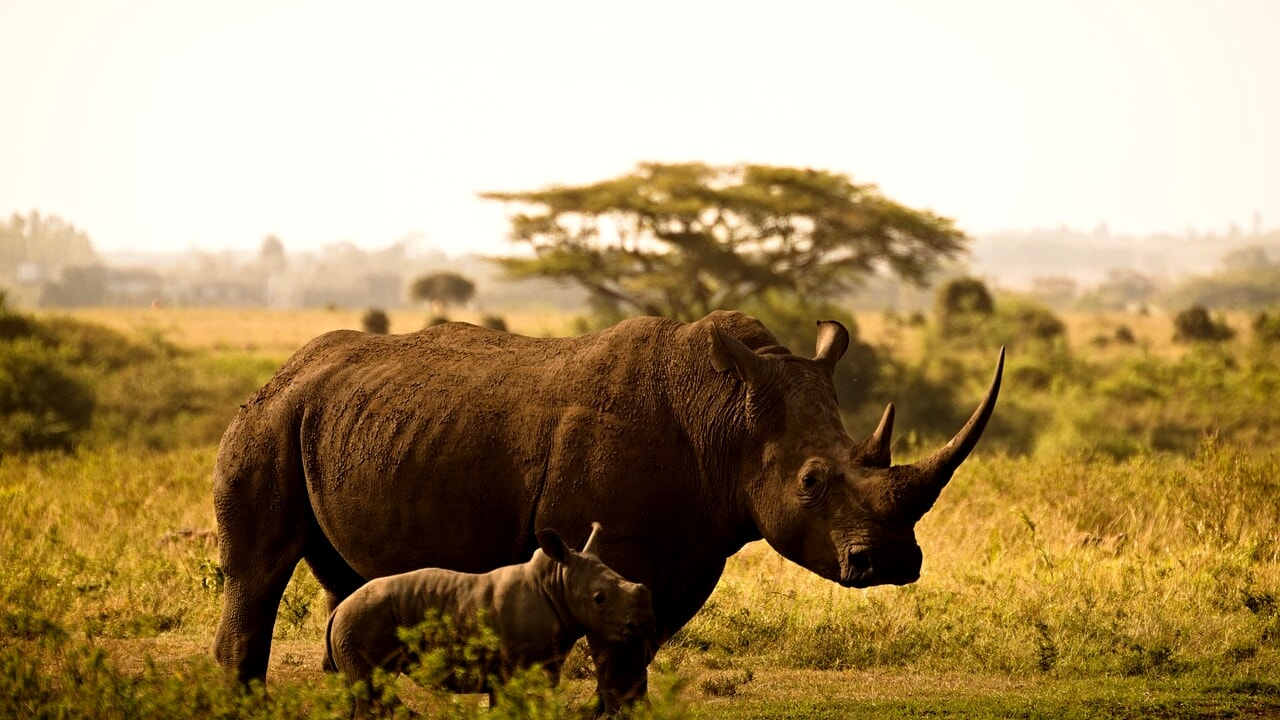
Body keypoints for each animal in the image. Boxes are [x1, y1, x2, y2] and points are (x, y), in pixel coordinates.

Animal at [325, 522, 652, 712]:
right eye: (599, 599)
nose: (641, 624)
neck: (558, 582)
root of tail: (338, 611)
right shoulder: (520, 667)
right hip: (361, 621)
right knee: (372, 692)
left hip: (355, 624)